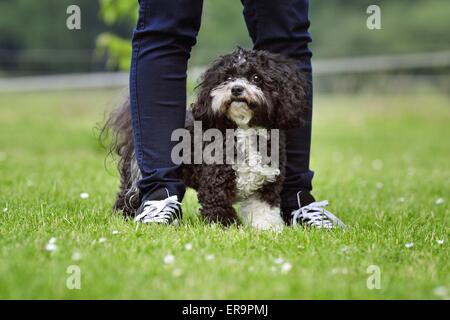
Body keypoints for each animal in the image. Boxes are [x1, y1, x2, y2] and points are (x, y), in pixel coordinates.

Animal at [104, 48, 312, 230]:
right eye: (227, 78)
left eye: (256, 77)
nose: (236, 89)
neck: (244, 130)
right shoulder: (215, 183)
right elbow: (219, 209)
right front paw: (226, 228)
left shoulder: (266, 186)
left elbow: (264, 211)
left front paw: (268, 229)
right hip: (137, 175)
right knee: (128, 196)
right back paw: (124, 216)